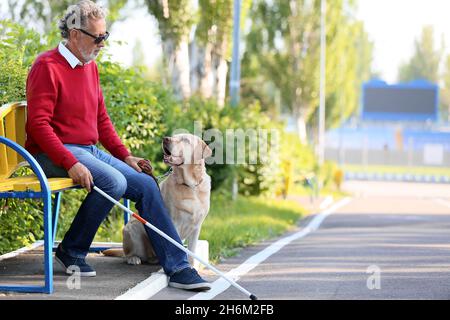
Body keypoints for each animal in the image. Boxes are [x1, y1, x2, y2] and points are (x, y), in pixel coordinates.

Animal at [109, 133, 214, 264]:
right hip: (133, 229)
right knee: (129, 254)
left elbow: (191, 252)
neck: (190, 186)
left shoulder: (196, 227)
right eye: (174, 136)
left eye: (185, 140)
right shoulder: (174, 224)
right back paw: (134, 258)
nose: (166, 139)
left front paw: (191, 264)